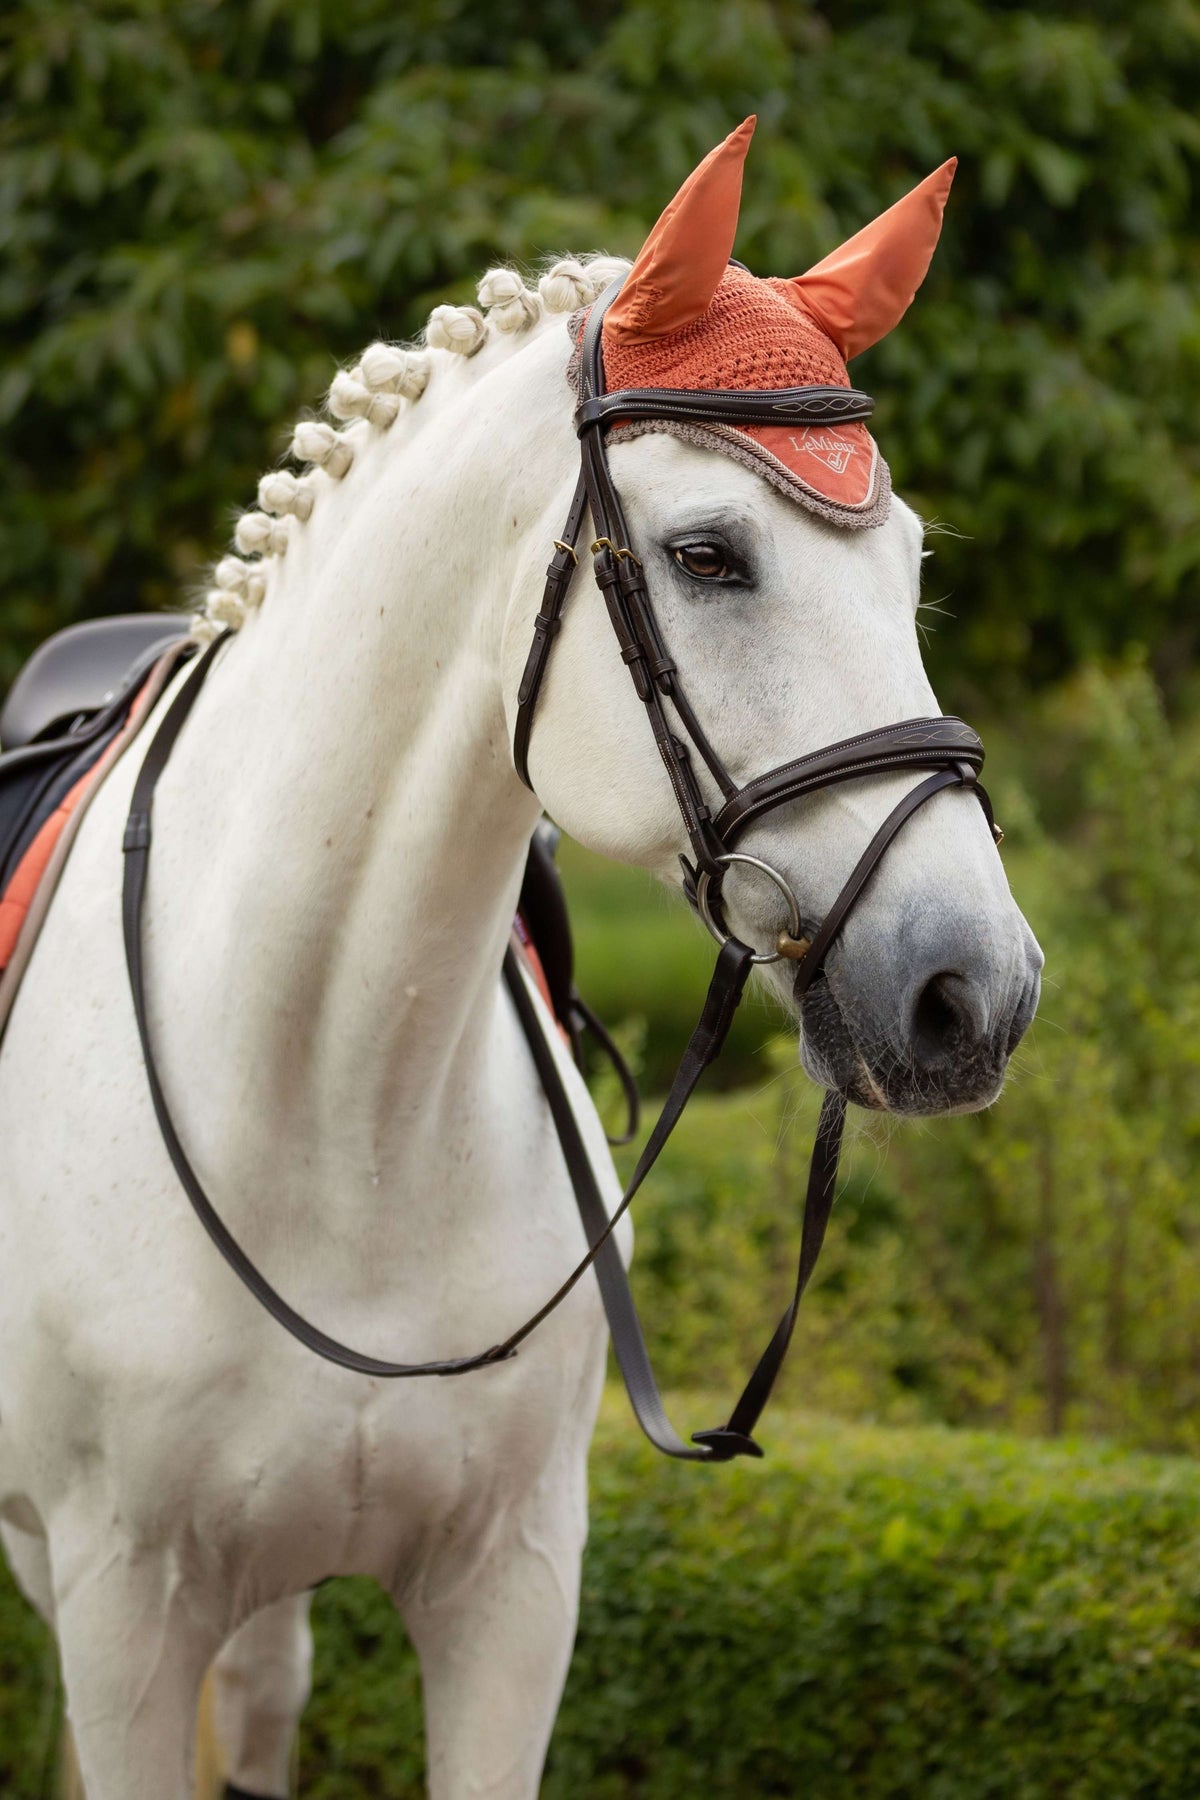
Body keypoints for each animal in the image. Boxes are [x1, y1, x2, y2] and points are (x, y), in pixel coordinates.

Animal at [0, 133, 1043, 1800]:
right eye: (708, 554)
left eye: (912, 562)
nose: (972, 995)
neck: (335, 1105)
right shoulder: (120, 1609)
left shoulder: (513, 1588)